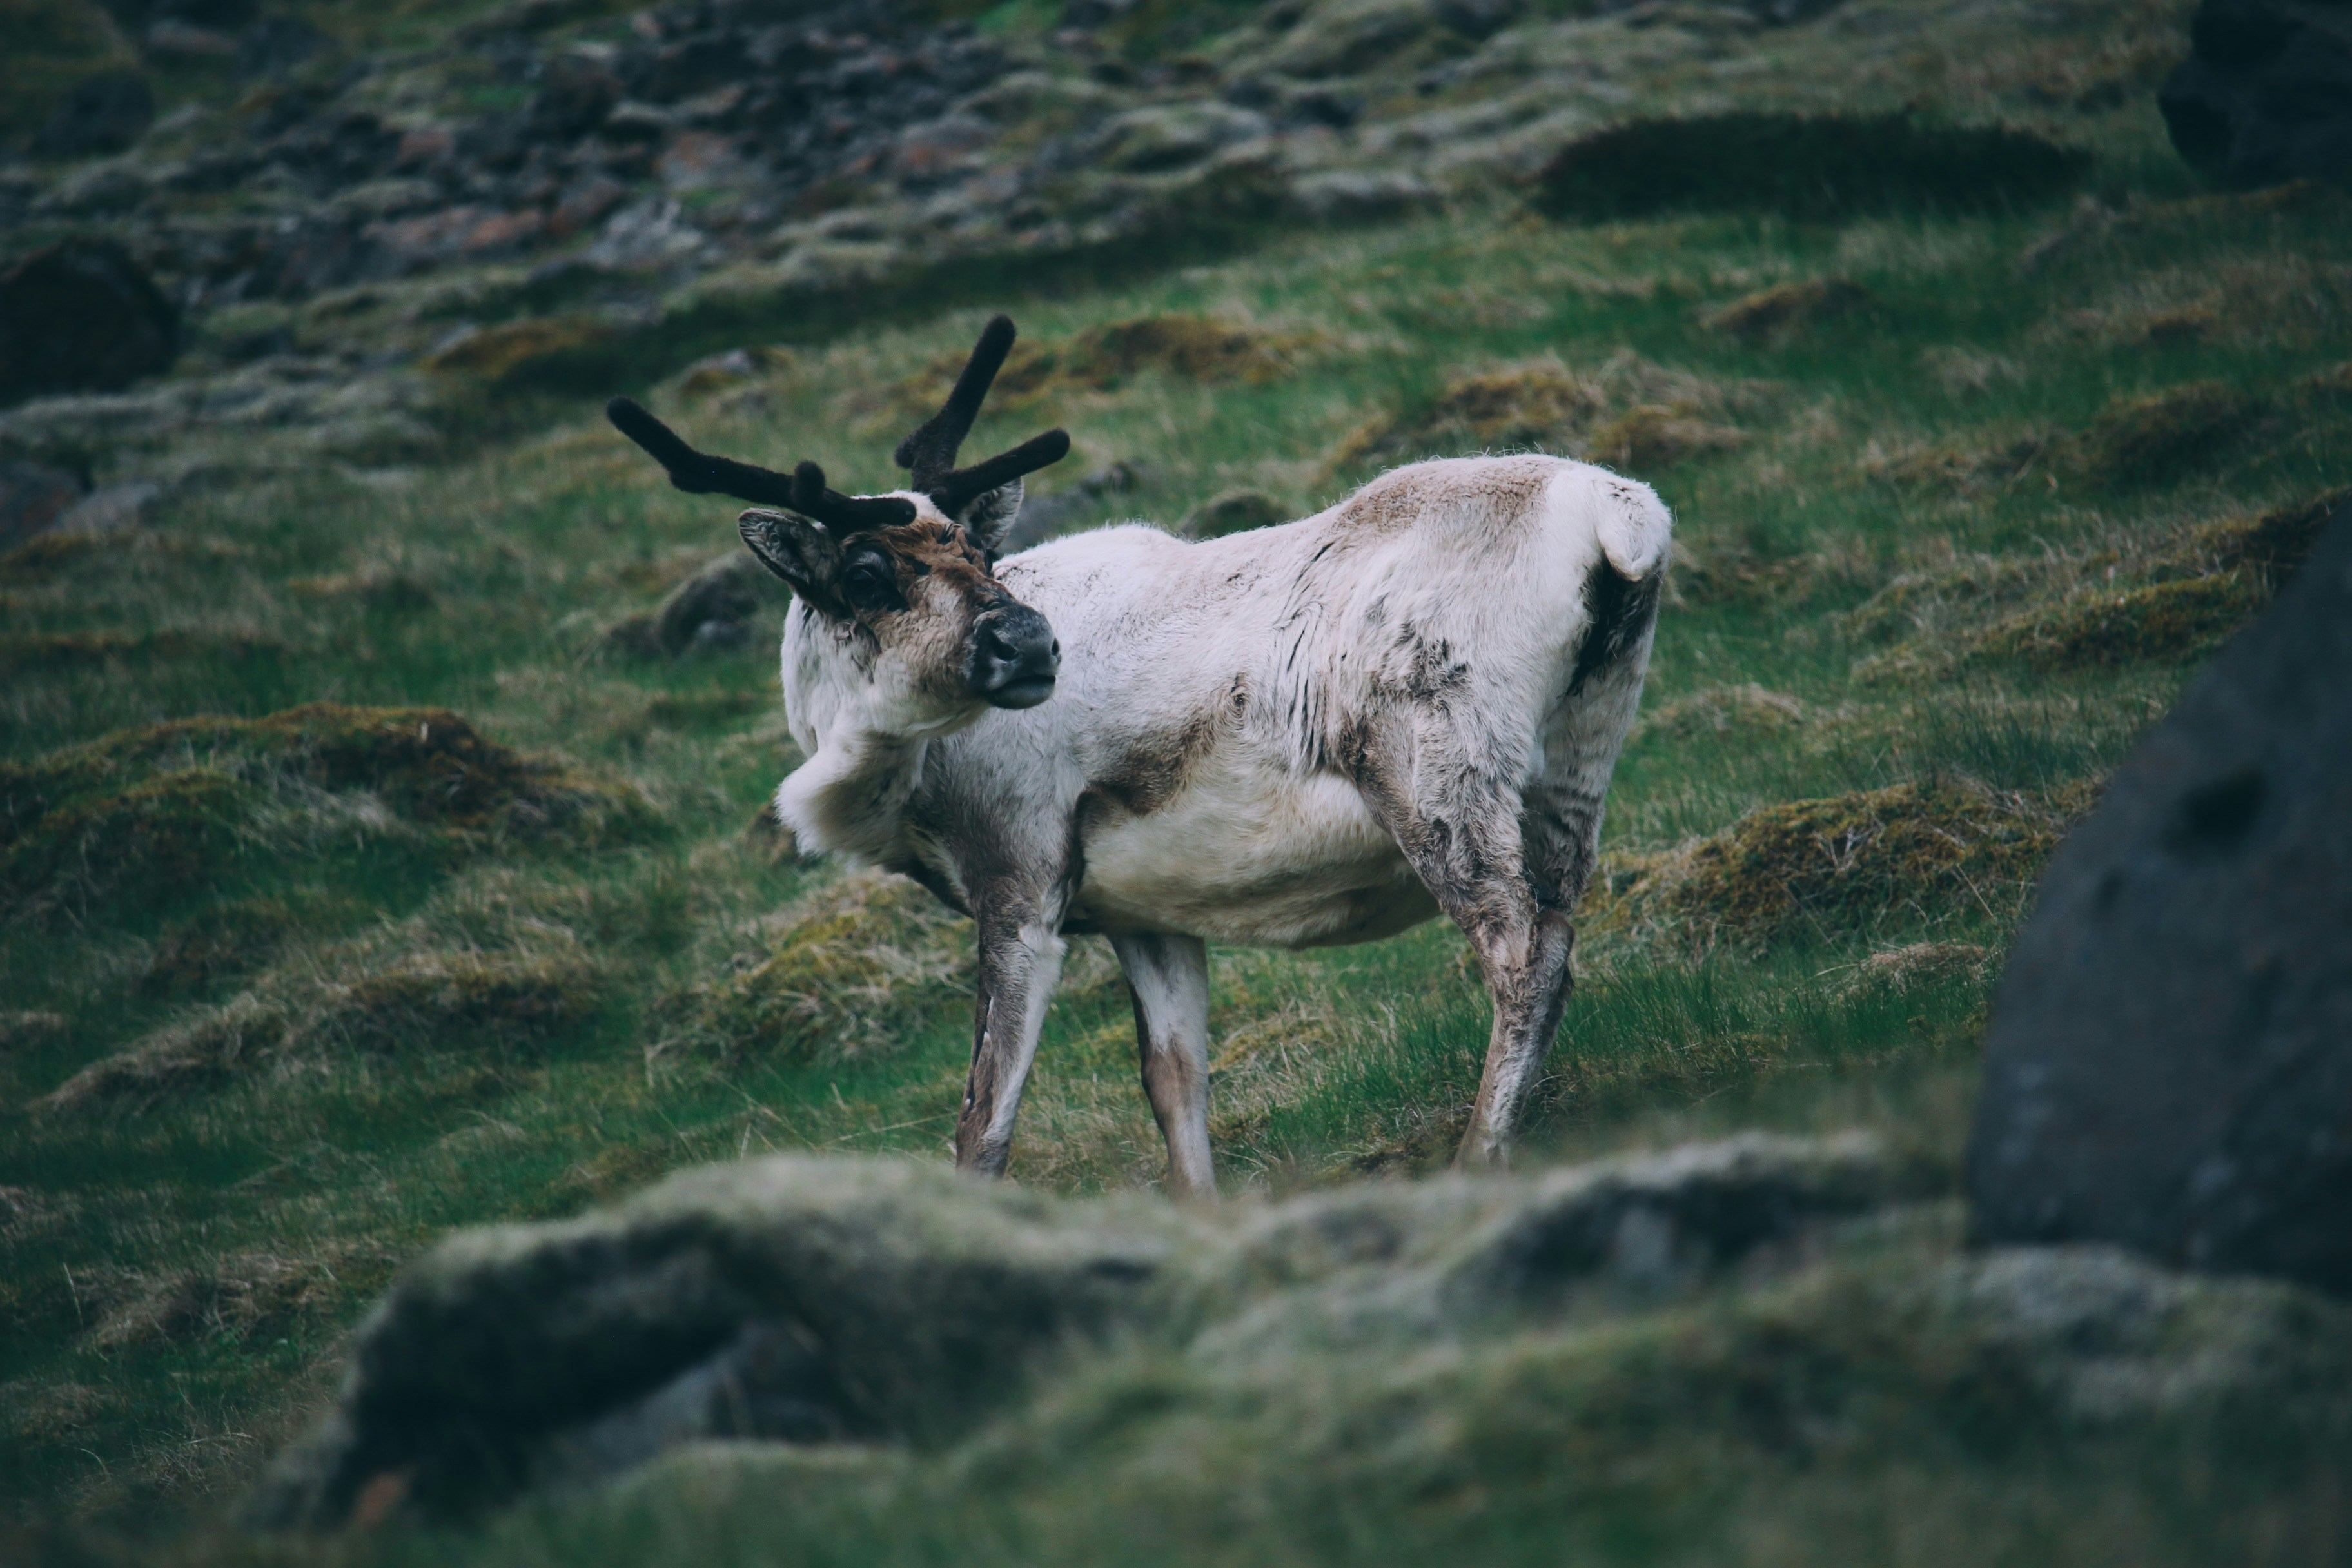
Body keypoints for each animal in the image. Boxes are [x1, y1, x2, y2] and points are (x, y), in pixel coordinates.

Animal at [608, 316, 1670, 1198]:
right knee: (1560, 928)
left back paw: (1478, 1156)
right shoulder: (1144, 913)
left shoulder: (1020, 879)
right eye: (866, 572)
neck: (896, 779)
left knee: (1520, 951)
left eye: (976, 552)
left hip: (1434, 768)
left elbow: (983, 1122)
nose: (1029, 643)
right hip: (1575, 768)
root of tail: (1622, 519)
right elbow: (1175, 1080)